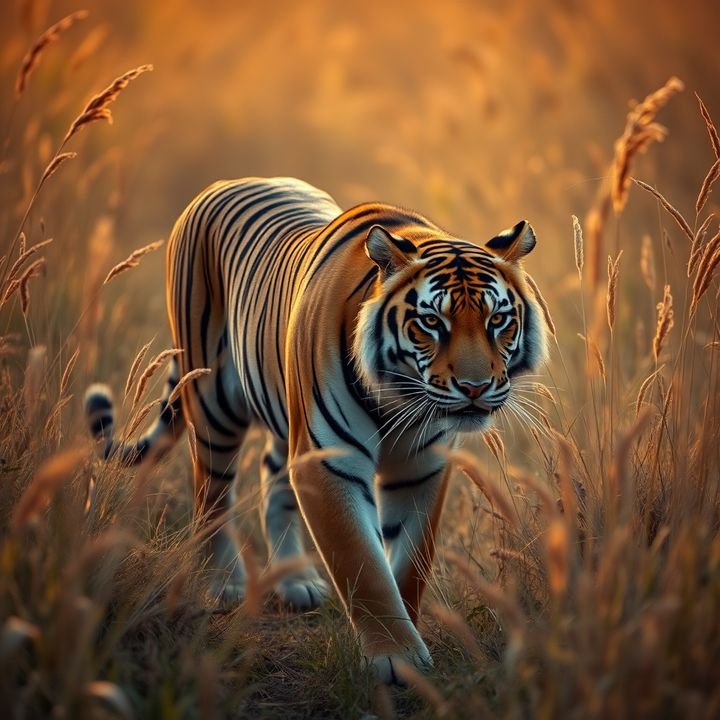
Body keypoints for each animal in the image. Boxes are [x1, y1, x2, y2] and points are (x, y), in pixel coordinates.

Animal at [85, 177, 549, 684]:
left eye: (497, 320)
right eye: (431, 322)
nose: (474, 387)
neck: (400, 397)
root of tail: (224, 182)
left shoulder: (421, 468)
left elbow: (410, 563)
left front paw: (408, 641)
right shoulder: (330, 464)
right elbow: (362, 563)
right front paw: (396, 655)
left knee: (272, 480)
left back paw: (295, 581)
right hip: (213, 400)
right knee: (212, 495)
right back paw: (223, 584)